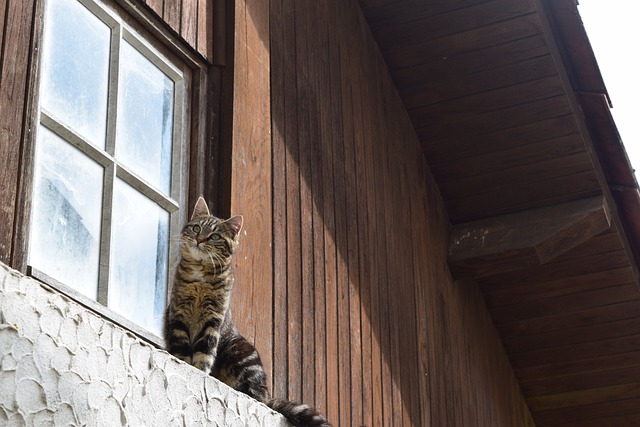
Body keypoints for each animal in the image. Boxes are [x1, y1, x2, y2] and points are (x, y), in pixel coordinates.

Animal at [164, 198, 330, 427]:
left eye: (215, 236)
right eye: (197, 228)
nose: (199, 239)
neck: (200, 277)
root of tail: (269, 394)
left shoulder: (213, 320)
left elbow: (205, 353)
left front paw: (199, 371)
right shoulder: (178, 315)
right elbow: (180, 350)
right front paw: (184, 364)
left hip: (240, 353)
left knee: (255, 396)